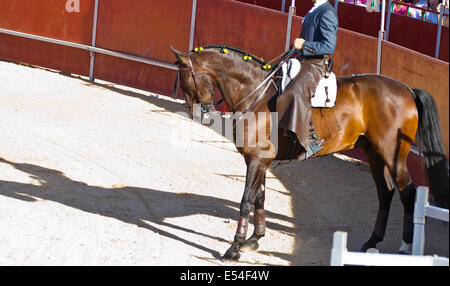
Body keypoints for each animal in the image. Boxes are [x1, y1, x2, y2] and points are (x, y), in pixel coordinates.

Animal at [168, 44, 446, 262]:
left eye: (186, 81)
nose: (197, 114)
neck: (256, 93)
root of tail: (407, 89)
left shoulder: (256, 159)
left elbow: (246, 200)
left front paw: (235, 247)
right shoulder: (260, 161)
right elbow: (260, 198)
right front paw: (255, 239)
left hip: (393, 154)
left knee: (408, 193)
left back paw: (405, 247)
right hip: (374, 153)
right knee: (385, 193)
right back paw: (371, 243)